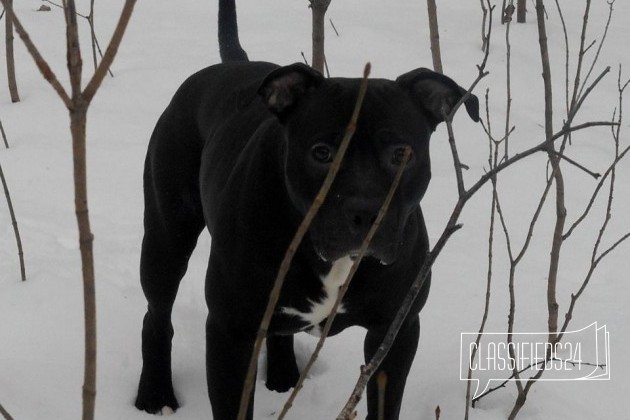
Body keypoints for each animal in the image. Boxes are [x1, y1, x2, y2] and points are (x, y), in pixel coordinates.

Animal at [135, 1, 478, 418]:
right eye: (322, 153)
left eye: (401, 154)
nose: (366, 213)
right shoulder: (230, 332)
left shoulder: (396, 331)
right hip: (167, 237)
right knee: (157, 316)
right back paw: (154, 395)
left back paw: (283, 376)